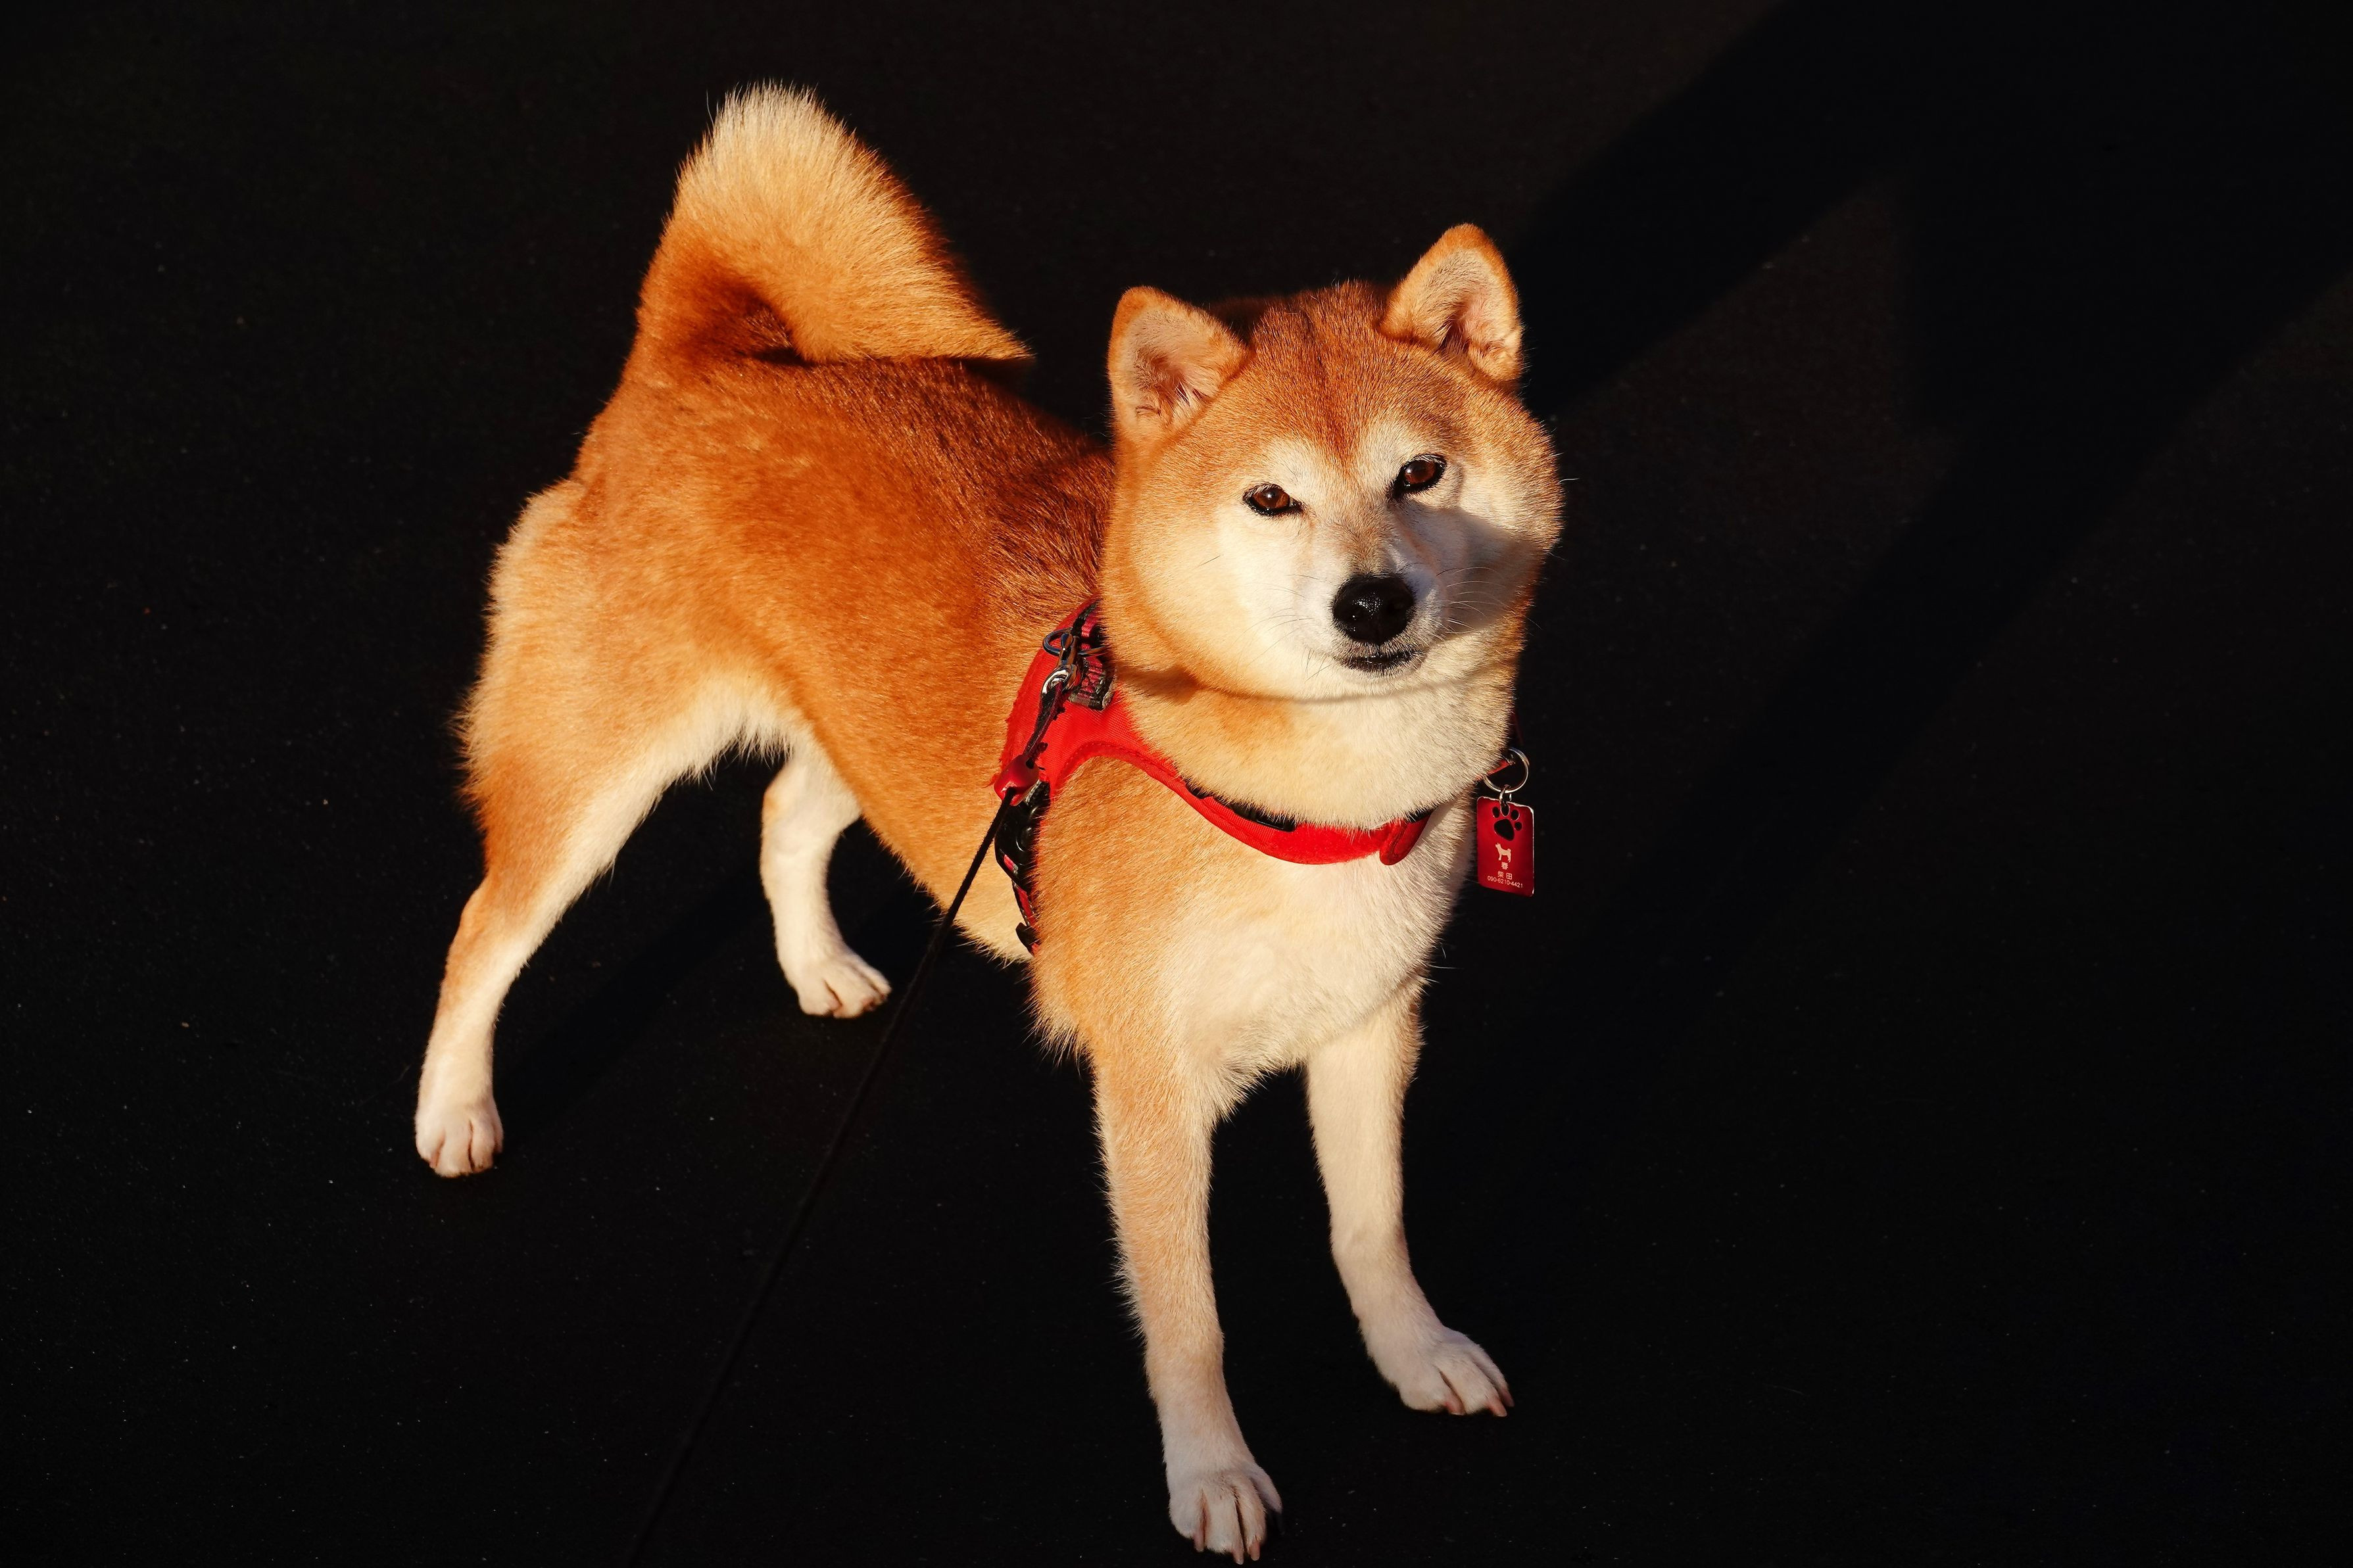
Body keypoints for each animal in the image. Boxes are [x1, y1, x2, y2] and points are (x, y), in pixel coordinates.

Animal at [413, 86, 1560, 1559]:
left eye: (1420, 472)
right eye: (1270, 498)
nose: (1370, 602)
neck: (1292, 800)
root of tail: (698, 363)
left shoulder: (1369, 1028)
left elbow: (1373, 1231)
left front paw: (1412, 1353)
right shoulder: (1151, 1092)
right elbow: (1188, 1321)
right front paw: (1211, 1472)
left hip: (874, 743)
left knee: (784, 815)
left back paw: (818, 966)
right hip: (591, 783)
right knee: (484, 932)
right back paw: (456, 1108)